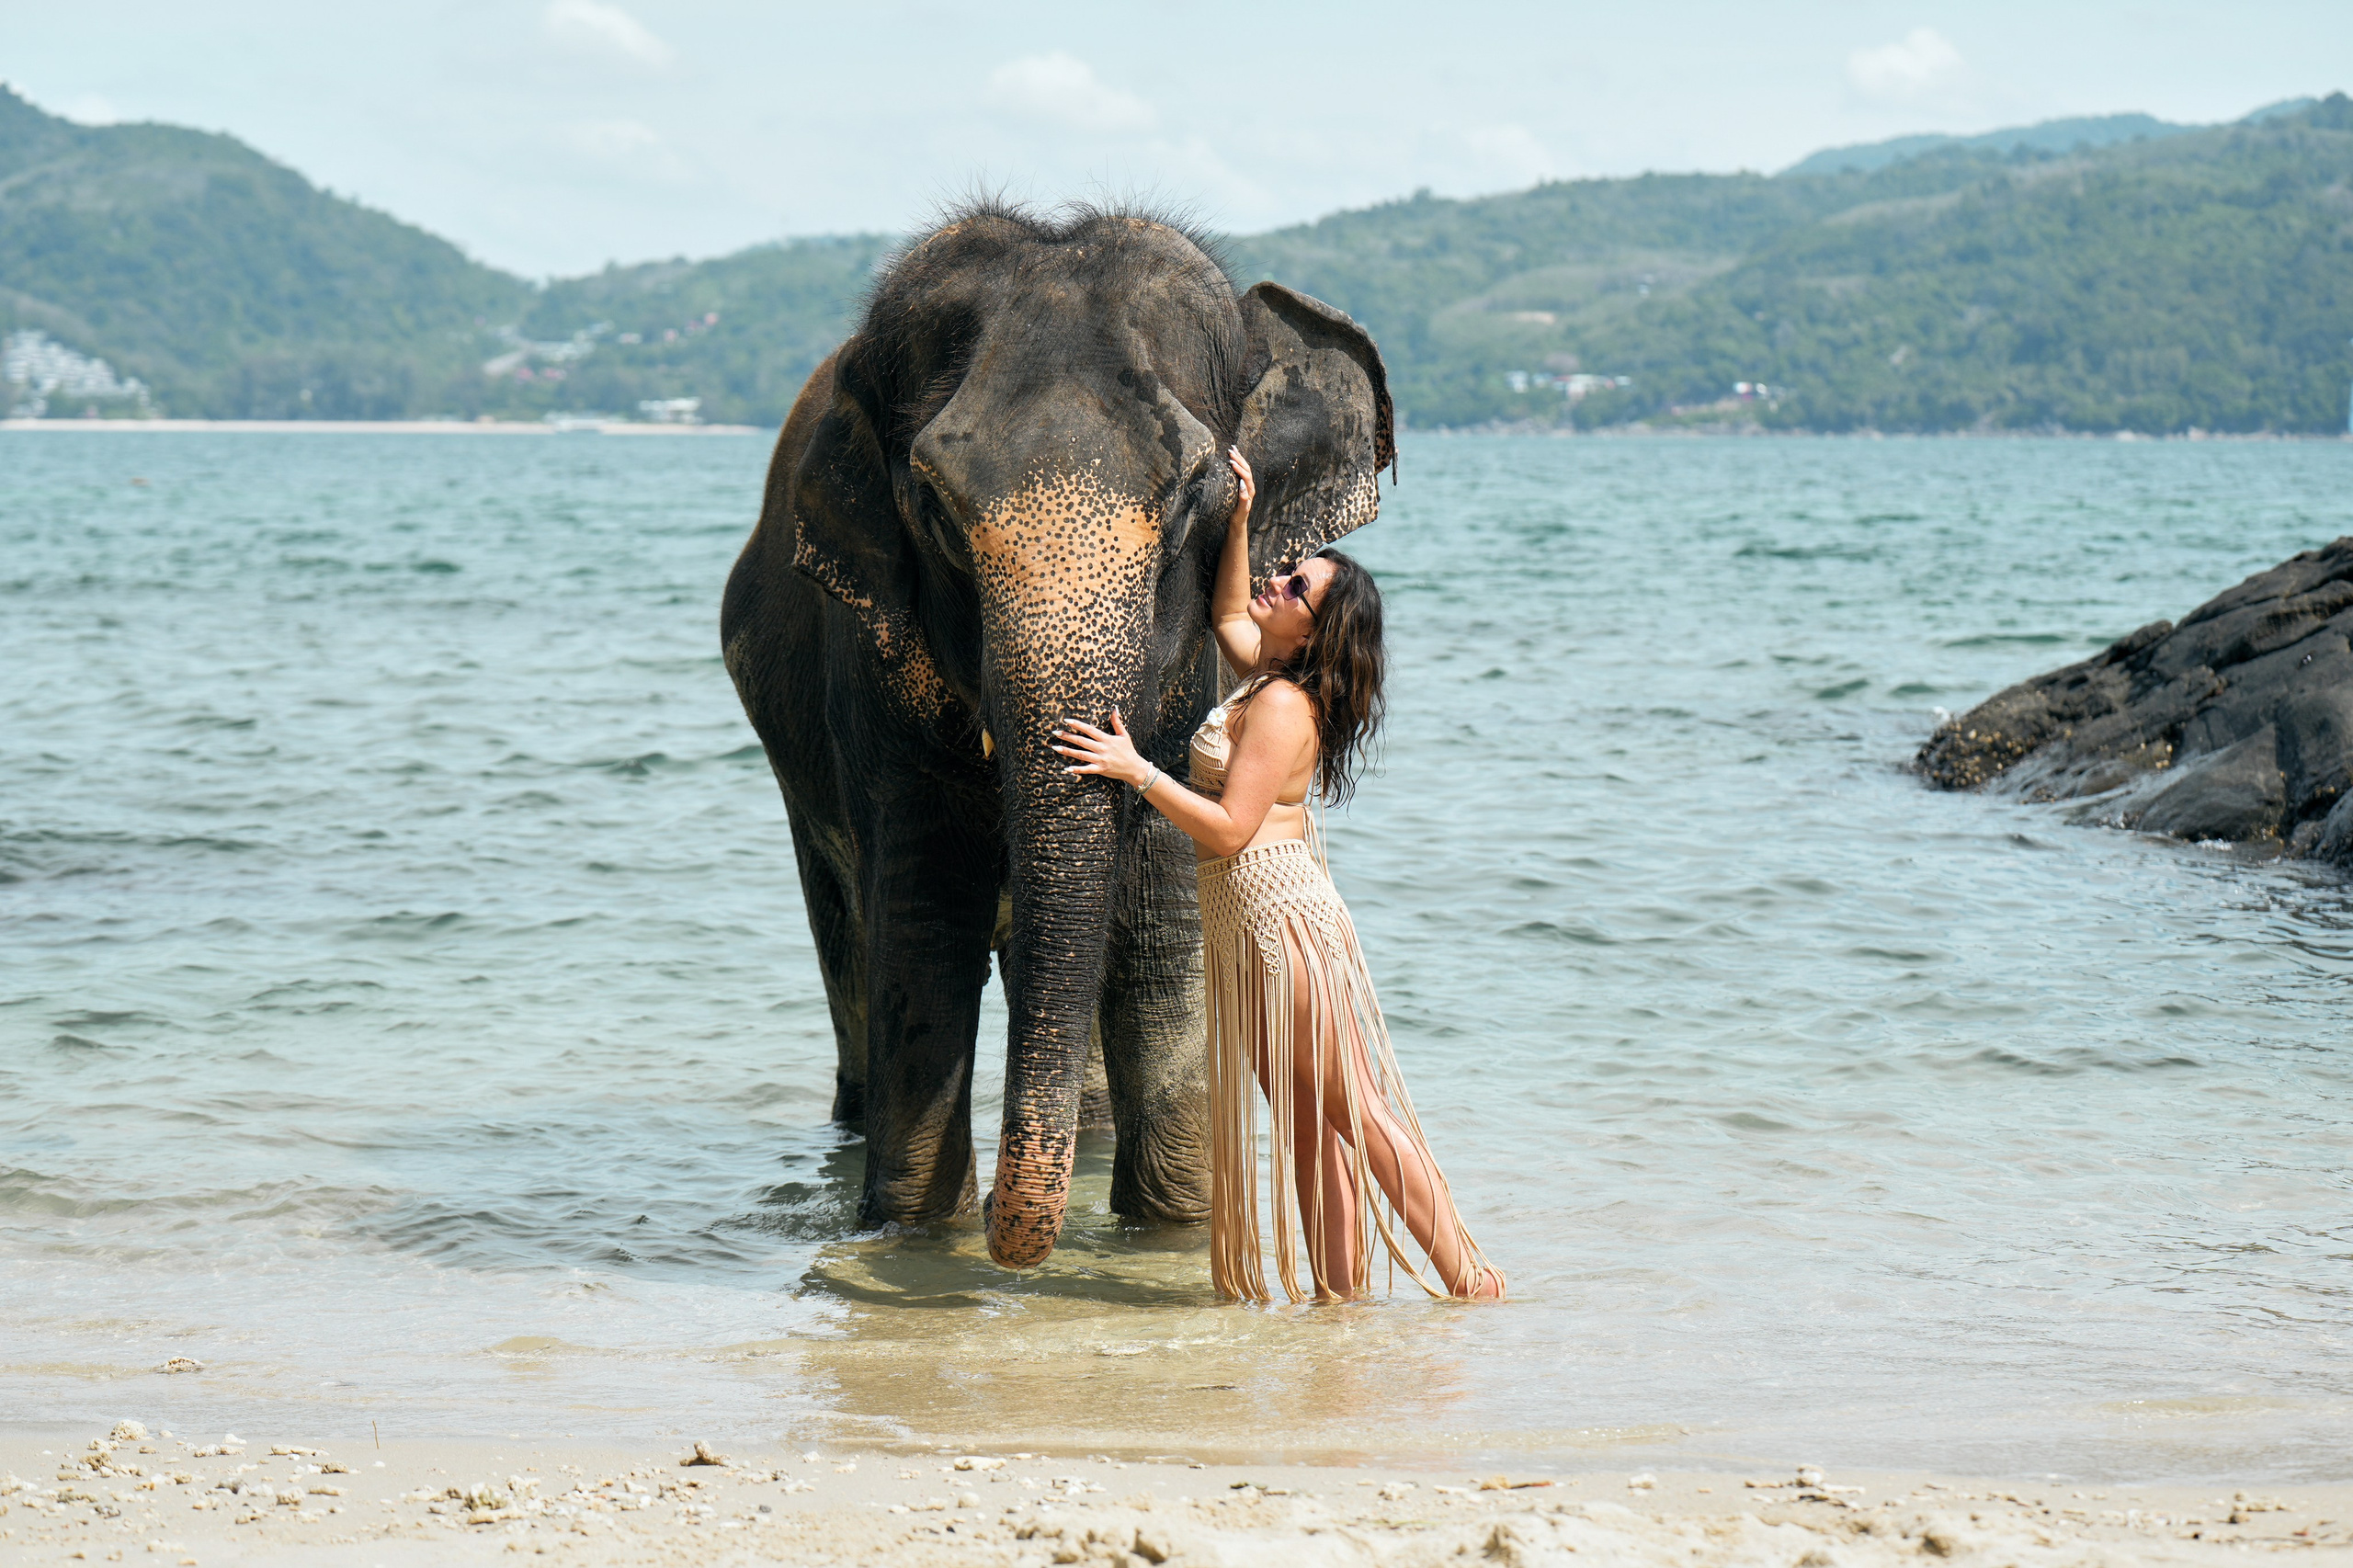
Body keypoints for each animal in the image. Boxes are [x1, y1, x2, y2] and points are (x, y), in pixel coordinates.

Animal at [720, 202, 1396, 1269]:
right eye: (934, 508)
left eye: (1196, 495)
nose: (1011, 1232)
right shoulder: (873, 685)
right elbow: (923, 919)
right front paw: (909, 1234)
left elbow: (1156, 917)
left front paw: (1166, 1233)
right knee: (851, 940)